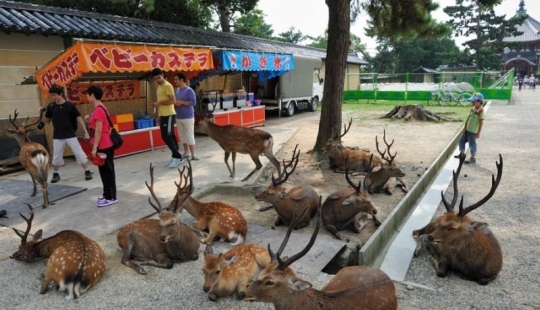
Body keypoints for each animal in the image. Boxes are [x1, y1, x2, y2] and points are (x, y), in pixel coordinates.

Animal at [414, 155, 506, 286]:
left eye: (453, 227)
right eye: (442, 223)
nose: (431, 237)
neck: (470, 266)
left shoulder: (494, 273)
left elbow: (483, 281)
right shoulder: (446, 255)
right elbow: (441, 272)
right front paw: (433, 256)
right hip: (431, 225)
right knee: (417, 232)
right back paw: (419, 248)